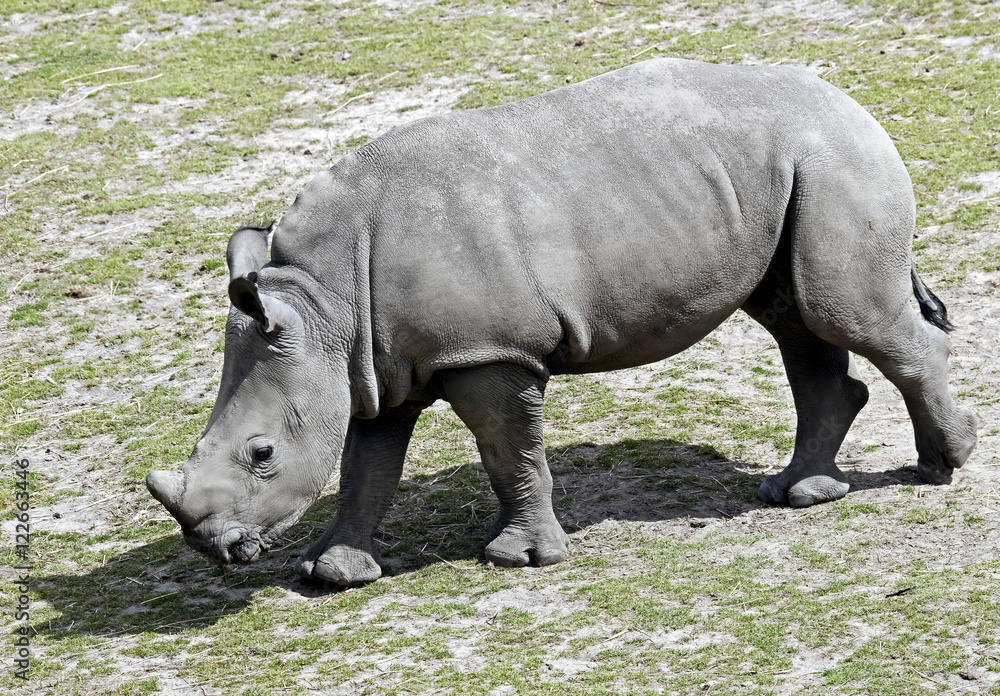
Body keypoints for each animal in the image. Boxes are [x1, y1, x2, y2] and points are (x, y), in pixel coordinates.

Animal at [146, 58, 977, 586]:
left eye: (260, 453)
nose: (210, 547)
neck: (325, 302)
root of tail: (851, 101)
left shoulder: (487, 352)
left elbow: (508, 451)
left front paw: (517, 562)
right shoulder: (378, 366)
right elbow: (364, 468)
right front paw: (332, 574)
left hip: (835, 162)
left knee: (845, 315)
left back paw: (942, 465)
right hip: (790, 173)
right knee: (796, 319)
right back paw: (799, 493)